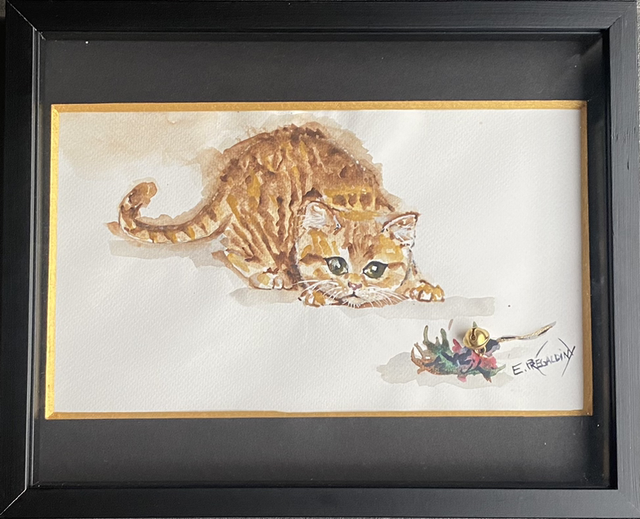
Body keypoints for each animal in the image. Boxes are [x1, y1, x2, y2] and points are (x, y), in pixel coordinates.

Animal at [114, 122, 444, 308]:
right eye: (336, 265)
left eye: (374, 269)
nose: (354, 286)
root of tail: (233, 171)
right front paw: (313, 292)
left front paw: (422, 286)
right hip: (258, 231)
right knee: (231, 251)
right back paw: (270, 275)